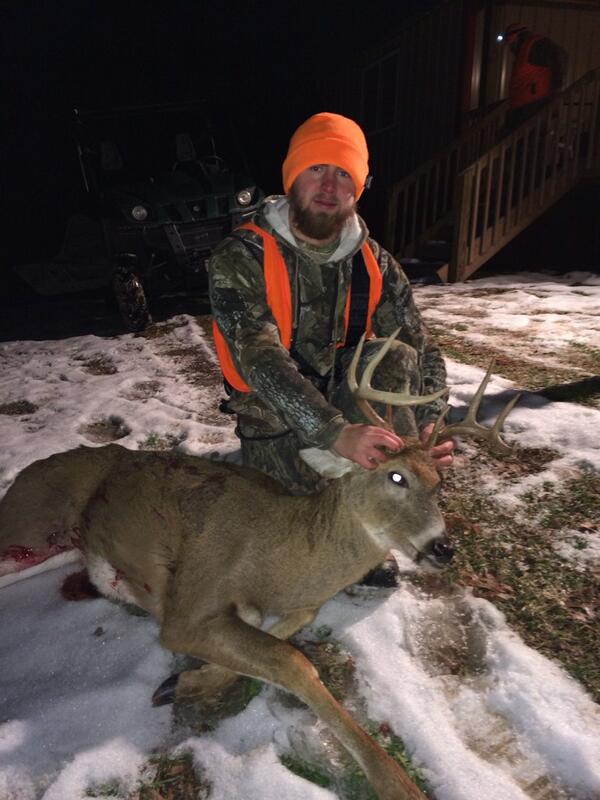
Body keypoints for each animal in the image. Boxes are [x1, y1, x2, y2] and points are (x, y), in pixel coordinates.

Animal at [0, 333, 519, 800]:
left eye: (440, 482)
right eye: (397, 476)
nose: (443, 548)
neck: (275, 558)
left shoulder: (290, 607)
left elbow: (287, 632)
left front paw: (179, 683)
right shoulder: (189, 606)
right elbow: (292, 661)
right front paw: (397, 784)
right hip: (31, 526)